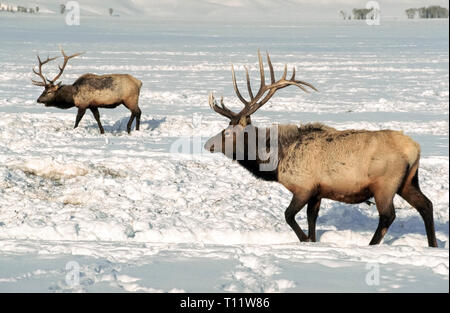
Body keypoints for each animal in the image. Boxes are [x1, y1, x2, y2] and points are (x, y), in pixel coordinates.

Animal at [206, 50, 438, 246]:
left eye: (228, 132)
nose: (208, 144)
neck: (276, 161)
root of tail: (415, 149)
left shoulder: (304, 187)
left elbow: (288, 215)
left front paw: (304, 240)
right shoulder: (318, 192)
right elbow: (312, 219)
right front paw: (312, 240)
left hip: (385, 184)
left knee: (388, 215)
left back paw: (372, 245)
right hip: (408, 181)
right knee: (426, 205)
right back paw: (433, 244)